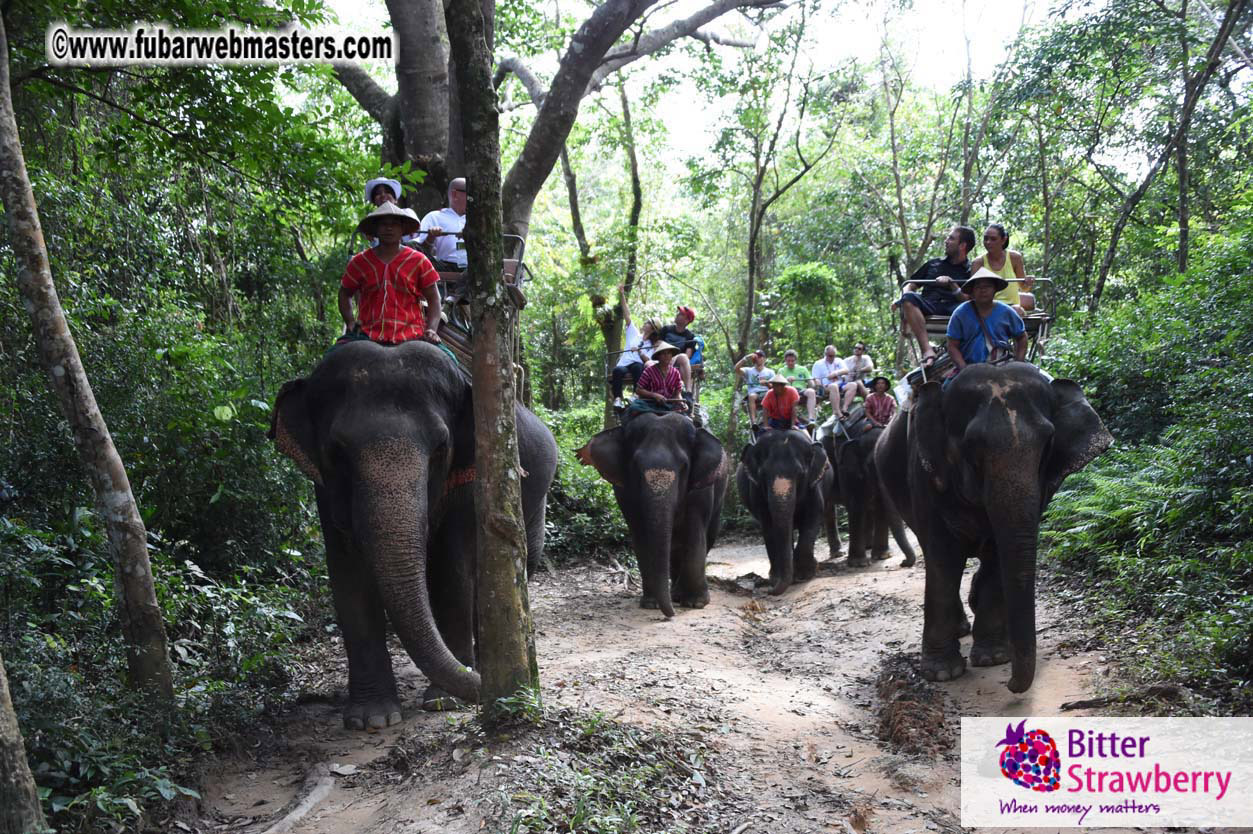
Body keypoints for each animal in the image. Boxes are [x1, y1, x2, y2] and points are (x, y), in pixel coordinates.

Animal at [269, 340, 557, 728]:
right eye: (337, 452)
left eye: (440, 449)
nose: (523, 694)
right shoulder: (324, 489)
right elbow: (347, 572)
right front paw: (371, 718)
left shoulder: (469, 473)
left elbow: (451, 566)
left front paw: (445, 701)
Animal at [576, 413, 729, 616]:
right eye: (635, 465)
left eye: (684, 466)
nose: (671, 615)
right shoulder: (624, 492)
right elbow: (640, 533)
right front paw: (651, 604)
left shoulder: (701, 488)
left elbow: (695, 532)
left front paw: (696, 603)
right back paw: (674, 594)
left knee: (708, 535)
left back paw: (678, 595)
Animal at [736, 428, 835, 595]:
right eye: (763, 475)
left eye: (800, 474)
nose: (769, 591)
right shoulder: (756, 491)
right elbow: (769, 526)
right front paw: (776, 579)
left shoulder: (815, 486)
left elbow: (812, 519)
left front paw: (805, 574)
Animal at [820, 415, 917, 568]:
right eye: (873, 464)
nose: (903, 562)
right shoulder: (845, 467)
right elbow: (855, 503)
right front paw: (859, 563)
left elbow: (880, 504)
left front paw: (882, 556)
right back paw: (839, 554)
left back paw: (865, 547)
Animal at [873, 362, 1111, 693]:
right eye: (972, 446)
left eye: (1048, 444)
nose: (1011, 685)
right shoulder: (924, 474)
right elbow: (943, 558)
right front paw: (942, 674)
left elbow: (1001, 553)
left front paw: (993, 657)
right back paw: (962, 628)